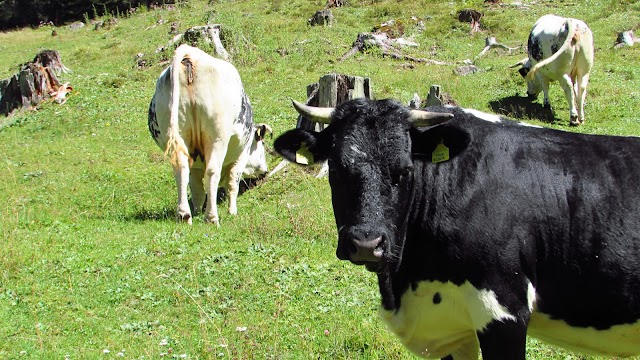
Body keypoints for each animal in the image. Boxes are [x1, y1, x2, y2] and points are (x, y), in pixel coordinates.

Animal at [148, 44, 270, 225]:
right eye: (261, 145)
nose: (265, 171)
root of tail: (191, 54)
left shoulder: (195, 165)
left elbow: (196, 188)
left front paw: (197, 211)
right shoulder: (240, 155)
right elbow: (232, 183)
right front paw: (232, 211)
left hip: (178, 135)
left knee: (181, 169)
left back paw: (185, 215)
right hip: (217, 137)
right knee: (213, 171)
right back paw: (212, 217)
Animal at [274, 97, 640, 358]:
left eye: (405, 170)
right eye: (336, 168)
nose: (366, 243)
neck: (408, 280)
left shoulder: (504, 309)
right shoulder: (451, 327)